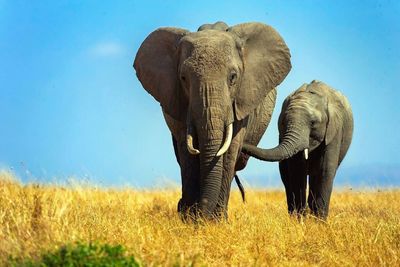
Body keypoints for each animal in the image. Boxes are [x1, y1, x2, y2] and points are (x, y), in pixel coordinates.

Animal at [134, 22, 290, 221]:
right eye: (183, 78)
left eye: (233, 77)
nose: (201, 213)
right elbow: (187, 153)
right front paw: (190, 219)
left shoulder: (242, 104)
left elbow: (230, 150)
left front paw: (215, 221)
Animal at [244, 81, 354, 220]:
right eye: (283, 122)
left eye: (313, 123)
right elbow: (297, 170)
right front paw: (300, 219)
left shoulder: (334, 130)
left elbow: (325, 170)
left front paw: (319, 221)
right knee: (287, 178)